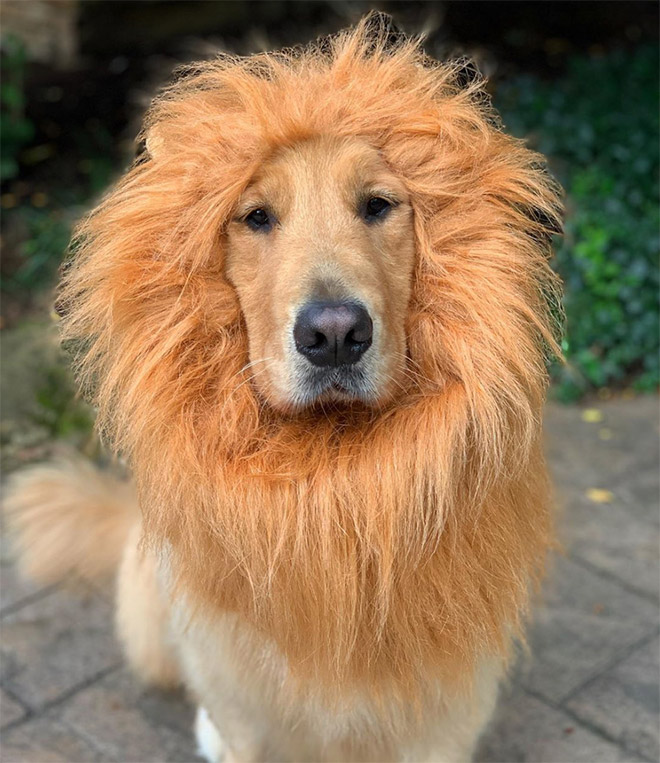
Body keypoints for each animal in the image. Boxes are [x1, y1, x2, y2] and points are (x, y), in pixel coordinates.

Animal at [3, 17, 564, 763]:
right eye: (256, 217)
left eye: (378, 206)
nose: (334, 335)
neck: (333, 494)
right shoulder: (239, 703)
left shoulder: (446, 713)